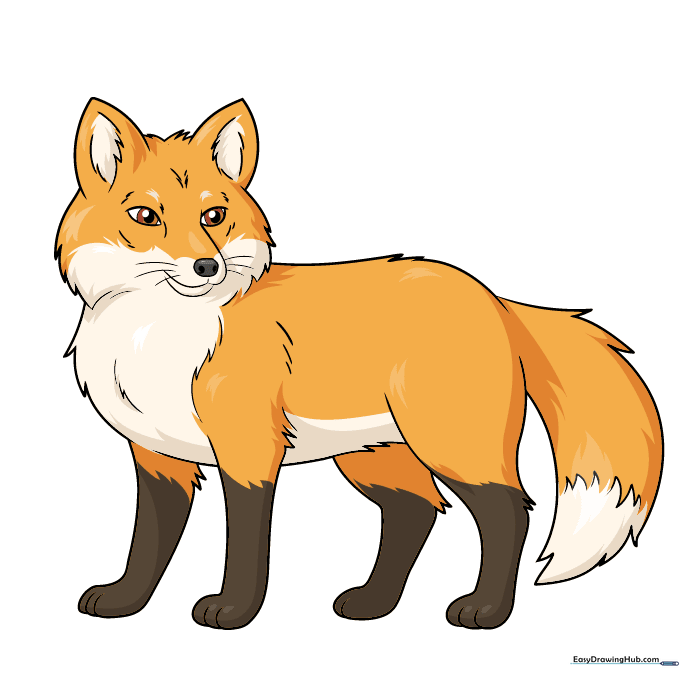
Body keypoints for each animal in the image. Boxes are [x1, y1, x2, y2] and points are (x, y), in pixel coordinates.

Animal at [56, 97, 663, 631]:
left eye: (214, 215)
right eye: (144, 215)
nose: (207, 266)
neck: (157, 336)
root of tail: (493, 296)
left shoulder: (247, 450)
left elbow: (245, 543)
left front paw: (233, 610)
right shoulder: (157, 457)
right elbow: (147, 545)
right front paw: (125, 602)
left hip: (451, 445)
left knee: (508, 512)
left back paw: (485, 610)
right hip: (374, 456)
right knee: (417, 511)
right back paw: (375, 603)